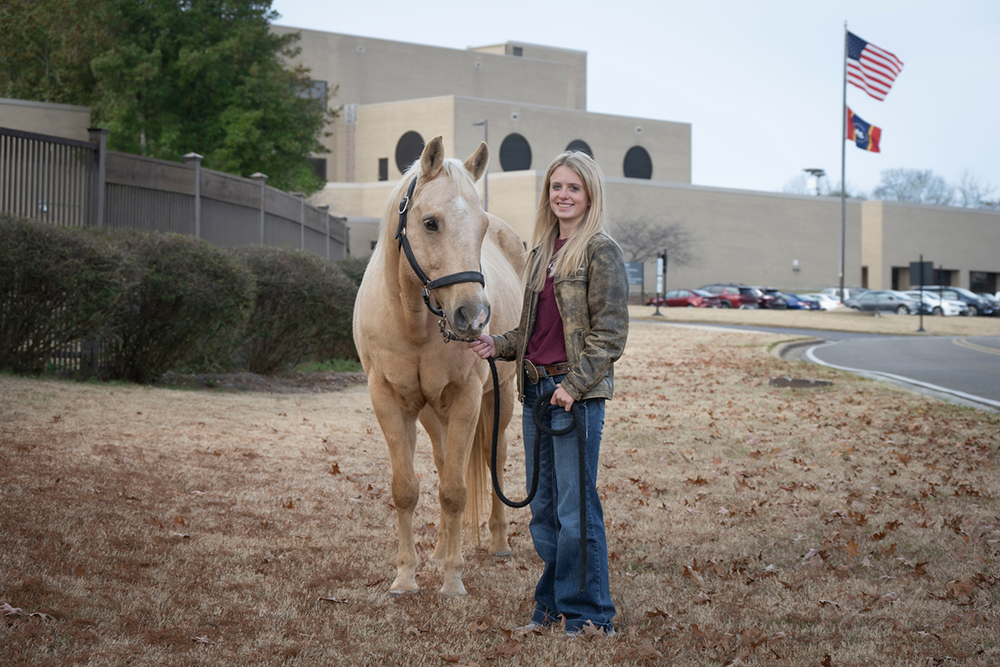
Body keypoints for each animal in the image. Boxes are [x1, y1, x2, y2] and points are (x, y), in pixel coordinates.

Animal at [352, 138, 524, 596]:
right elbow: (407, 489)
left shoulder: (467, 398)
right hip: (432, 413)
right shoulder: (389, 401)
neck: (413, 321)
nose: (472, 316)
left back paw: (497, 543)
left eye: (481, 228)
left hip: (499, 401)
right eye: (430, 223)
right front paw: (406, 576)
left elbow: (454, 492)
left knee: (494, 459)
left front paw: (452, 580)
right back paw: (440, 549)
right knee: (446, 460)